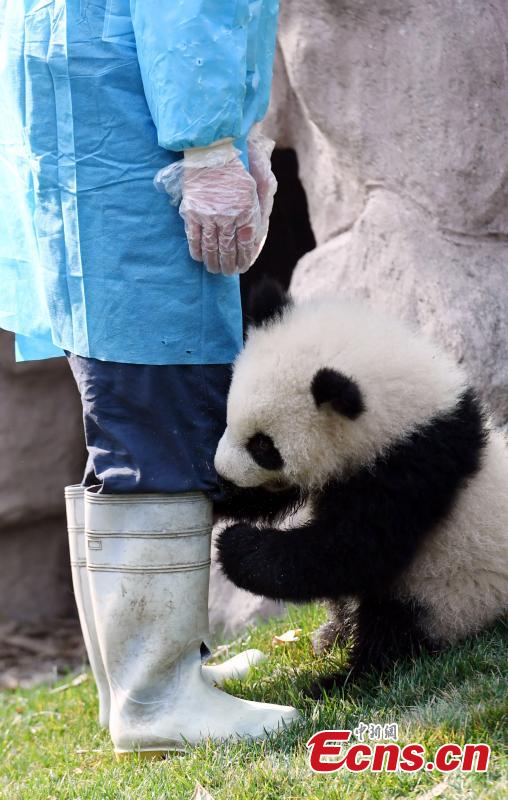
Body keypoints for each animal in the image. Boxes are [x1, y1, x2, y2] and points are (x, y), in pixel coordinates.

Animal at [214, 279, 508, 685]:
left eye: (263, 445)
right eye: (230, 417)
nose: (222, 471)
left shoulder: (413, 470)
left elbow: (351, 550)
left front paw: (236, 545)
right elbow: (272, 499)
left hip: (452, 592)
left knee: (395, 630)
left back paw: (339, 679)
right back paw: (332, 635)